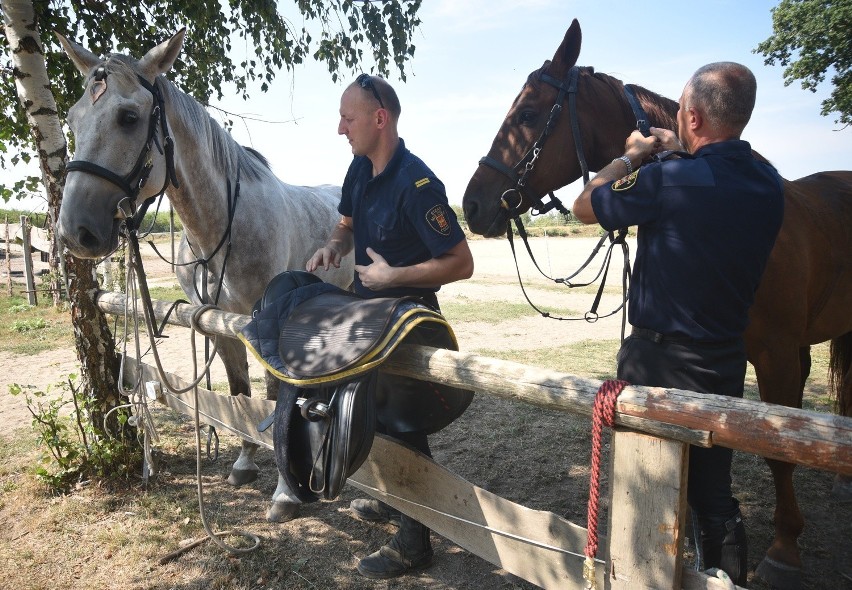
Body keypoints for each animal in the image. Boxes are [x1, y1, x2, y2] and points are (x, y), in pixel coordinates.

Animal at [56, 30, 354, 524]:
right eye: (73, 120)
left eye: (129, 117)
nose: (74, 232)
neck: (223, 226)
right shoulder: (217, 322)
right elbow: (239, 393)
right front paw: (244, 462)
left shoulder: (260, 324)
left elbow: (271, 398)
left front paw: (284, 493)